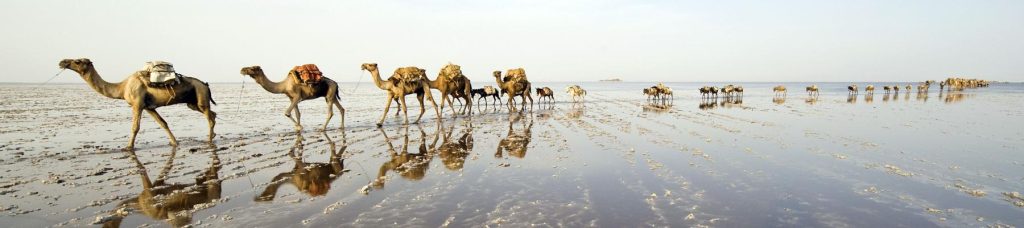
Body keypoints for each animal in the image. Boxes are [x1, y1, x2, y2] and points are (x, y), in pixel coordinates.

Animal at [59, 58, 216, 149]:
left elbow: (135, 127)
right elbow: (163, 123)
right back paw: (212, 136)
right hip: (192, 103)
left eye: (78, 61)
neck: (122, 88)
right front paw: (174, 142)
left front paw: (128, 147)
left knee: (209, 117)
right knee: (212, 114)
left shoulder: (137, 104)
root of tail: (205, 84)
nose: (62, 62)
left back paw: (209, 140)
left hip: (201, 97)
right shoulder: (149, 107)